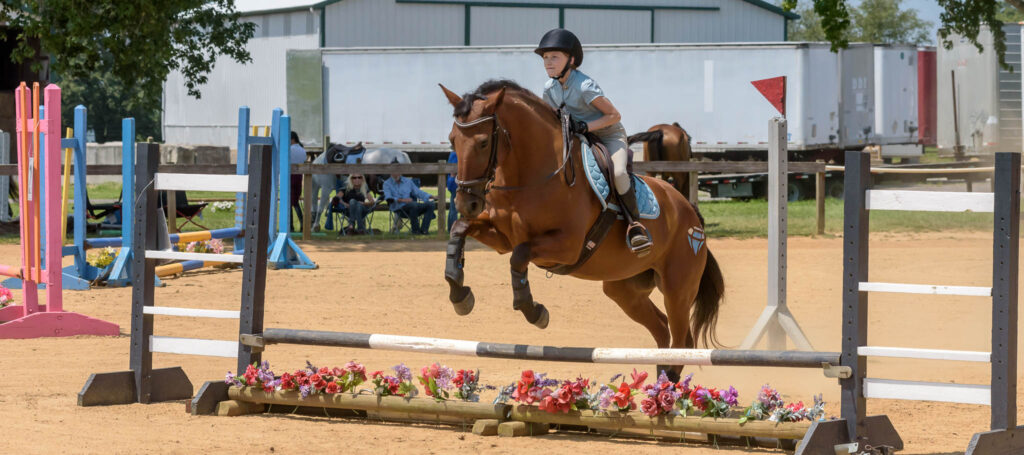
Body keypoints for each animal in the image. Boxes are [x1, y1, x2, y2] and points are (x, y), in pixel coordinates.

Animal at [436, 79, 724, 381]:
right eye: (452, 139)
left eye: (482, 142)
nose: (466, 203)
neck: (532, 174)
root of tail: (691, 214)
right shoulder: (503, 238)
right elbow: (460, 229)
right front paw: (459, 293)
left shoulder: (567, 246)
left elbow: (520, 255)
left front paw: (534, 311)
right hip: (624, 289)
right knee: (662, 329)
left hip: (677, 289)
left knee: (681, 341)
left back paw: (666, 387)